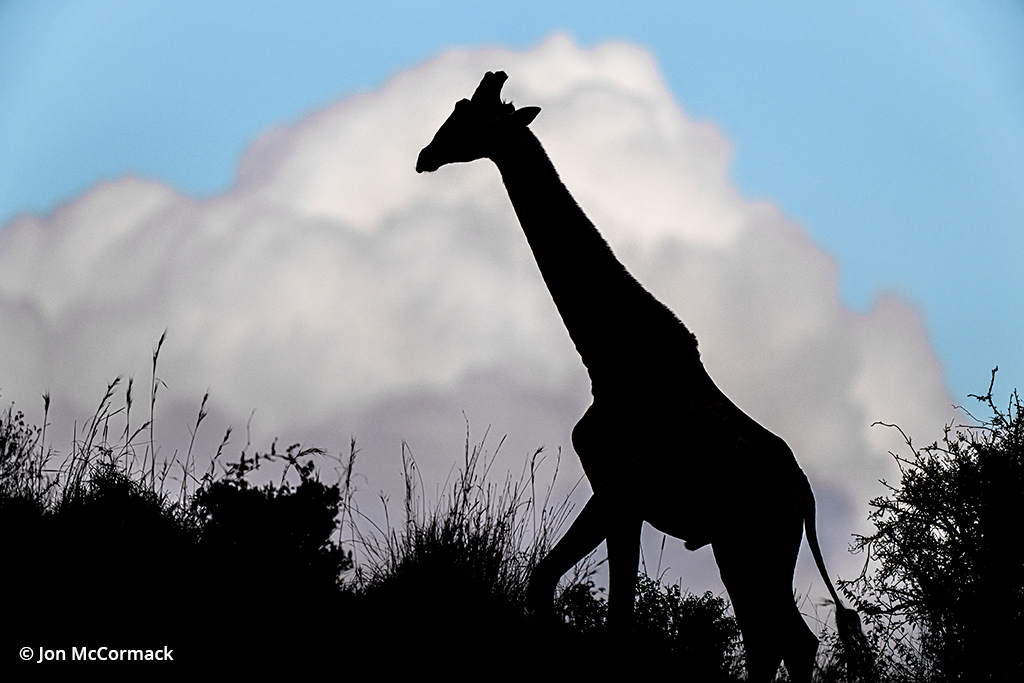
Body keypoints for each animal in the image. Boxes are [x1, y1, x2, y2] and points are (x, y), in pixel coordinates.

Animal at [411, 72, 868, 679]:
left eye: (467, 116)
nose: (425, 156)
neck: (611, 358)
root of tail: (807, 499)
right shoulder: (608, 490)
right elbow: (545, 585)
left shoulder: (623, 493)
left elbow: (616, 621)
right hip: (742, 549)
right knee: (783, 640)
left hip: (754, 546)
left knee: (783, 639)